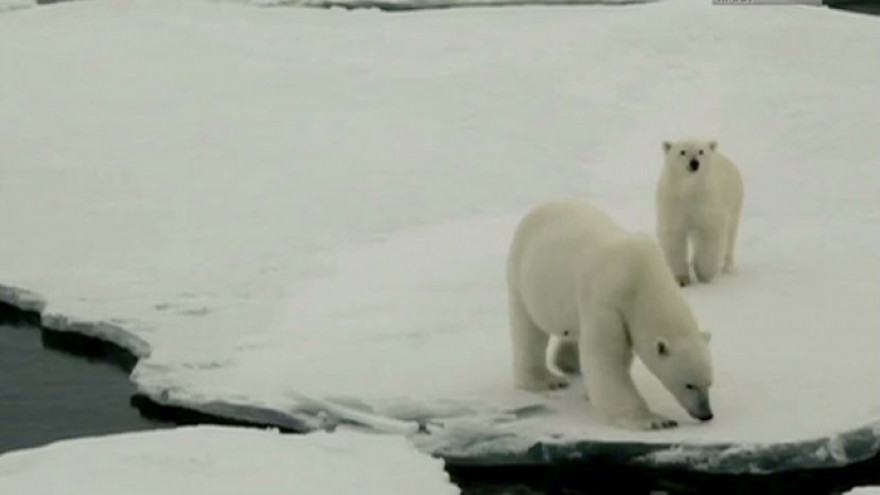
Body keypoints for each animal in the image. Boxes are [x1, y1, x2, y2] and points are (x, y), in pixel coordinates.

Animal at [506, 200, 712, 432]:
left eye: (709, 382)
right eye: (689, 384)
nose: (706, 414)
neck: (642, 276)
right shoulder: (607, 301)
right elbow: (607, 357)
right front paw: (654, 420)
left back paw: (569, 364)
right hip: (522, 276)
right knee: (529, 329)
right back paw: (545, 380)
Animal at [652, 140, 744, 286]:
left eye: (701, 151)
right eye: (682, 151)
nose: (694, 163)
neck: (690, 190)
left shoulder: (707, 204)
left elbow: (709, 234)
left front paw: (703, 274)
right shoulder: (673, 204)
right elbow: (674, 237)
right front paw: (681, 279)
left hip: (734, 199)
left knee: (730, 234)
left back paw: (726, 267)